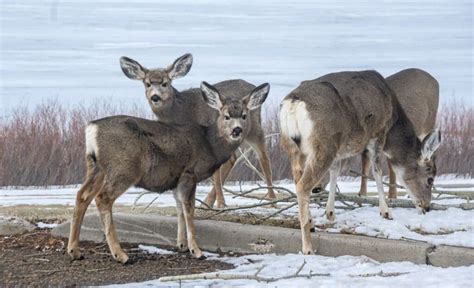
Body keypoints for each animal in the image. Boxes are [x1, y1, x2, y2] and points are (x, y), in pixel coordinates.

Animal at [65, 81, 270, 264]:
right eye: (226, 116)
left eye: (244, 115)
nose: (237, 130)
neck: (210, 144)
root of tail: (92, 128)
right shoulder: (190, 172)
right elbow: (189, 210)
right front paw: (196, 250)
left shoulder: (176, 178)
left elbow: (179, 208)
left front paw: (182, 245)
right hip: (124, 167)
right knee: (103, 197)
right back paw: (120, 255)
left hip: (95, 167)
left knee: (82, 195)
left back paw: (75, 251)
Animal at [120, 54, 276, 207]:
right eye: (147, 84)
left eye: (165, 83)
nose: (155, 97)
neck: (180, 111)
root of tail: (251, 86)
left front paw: (220, 204)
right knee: (234, 158)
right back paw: (208, 201)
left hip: (253, 127)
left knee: (263, 157)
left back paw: (271, 200)